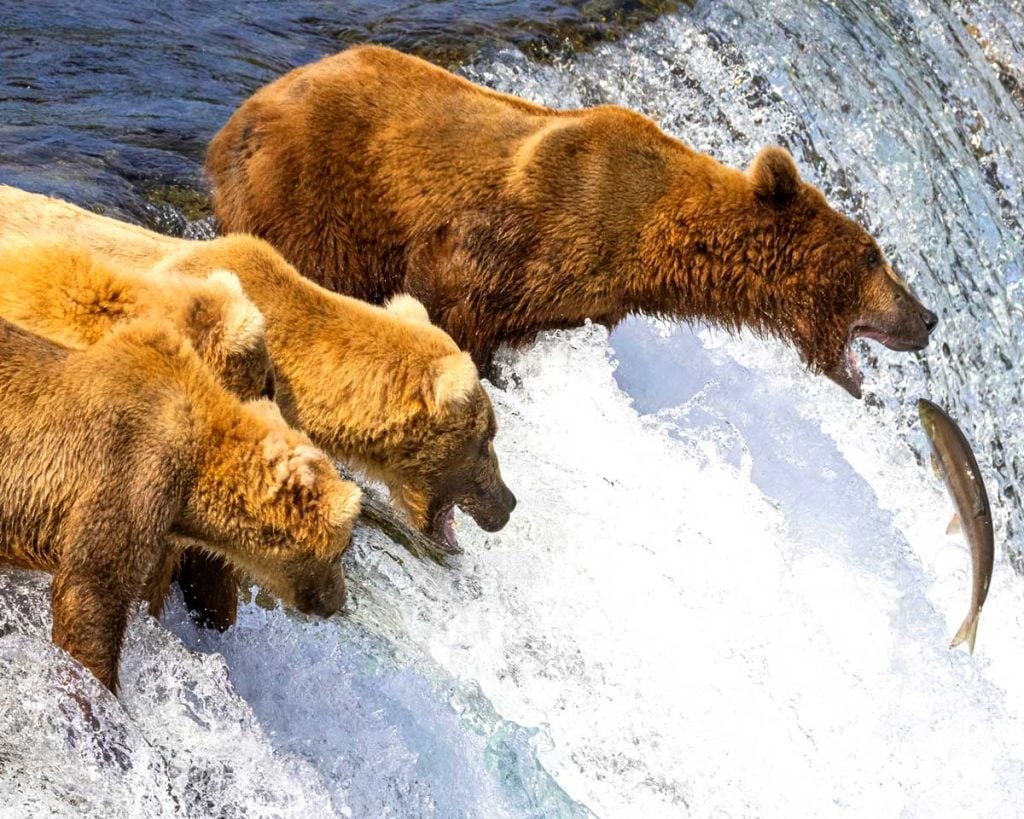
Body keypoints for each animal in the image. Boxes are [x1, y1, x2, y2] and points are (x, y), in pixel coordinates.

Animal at [205, 44, 938, 398]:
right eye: (874, 256)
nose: (929, 317)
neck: (650, 239)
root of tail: (237, 120)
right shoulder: (515, 235)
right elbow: (452, 301)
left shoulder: (574, 297)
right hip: (312, 195)